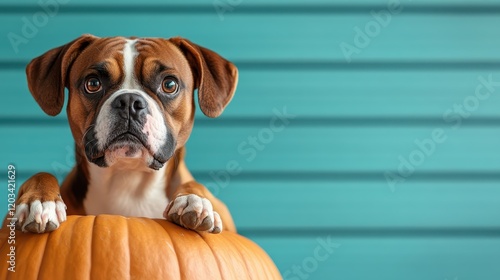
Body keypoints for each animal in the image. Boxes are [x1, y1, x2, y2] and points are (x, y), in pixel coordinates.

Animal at [4, 34, 238, 234]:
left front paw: (194, 200)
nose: (129, 102)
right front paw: (40, 201)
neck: (127, 178)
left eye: (169, 84)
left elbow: (196, 185)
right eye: (93, 83)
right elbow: (41, 174)